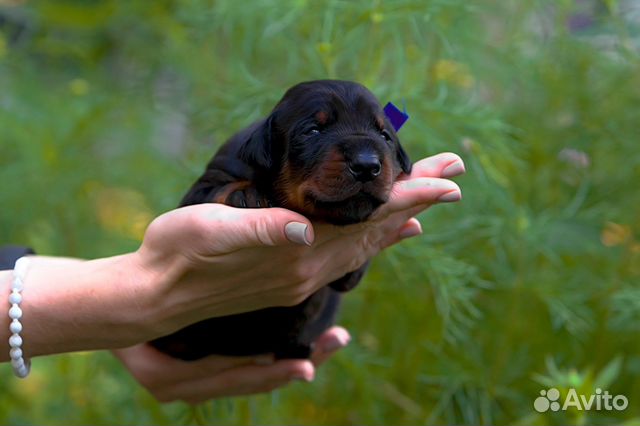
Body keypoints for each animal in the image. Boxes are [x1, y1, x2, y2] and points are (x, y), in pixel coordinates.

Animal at [150, 79, 410, 360]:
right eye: (313, 131)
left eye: (384, 136)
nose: (366, 165)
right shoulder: (214, 177)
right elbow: (216, 190)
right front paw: (246, 193)